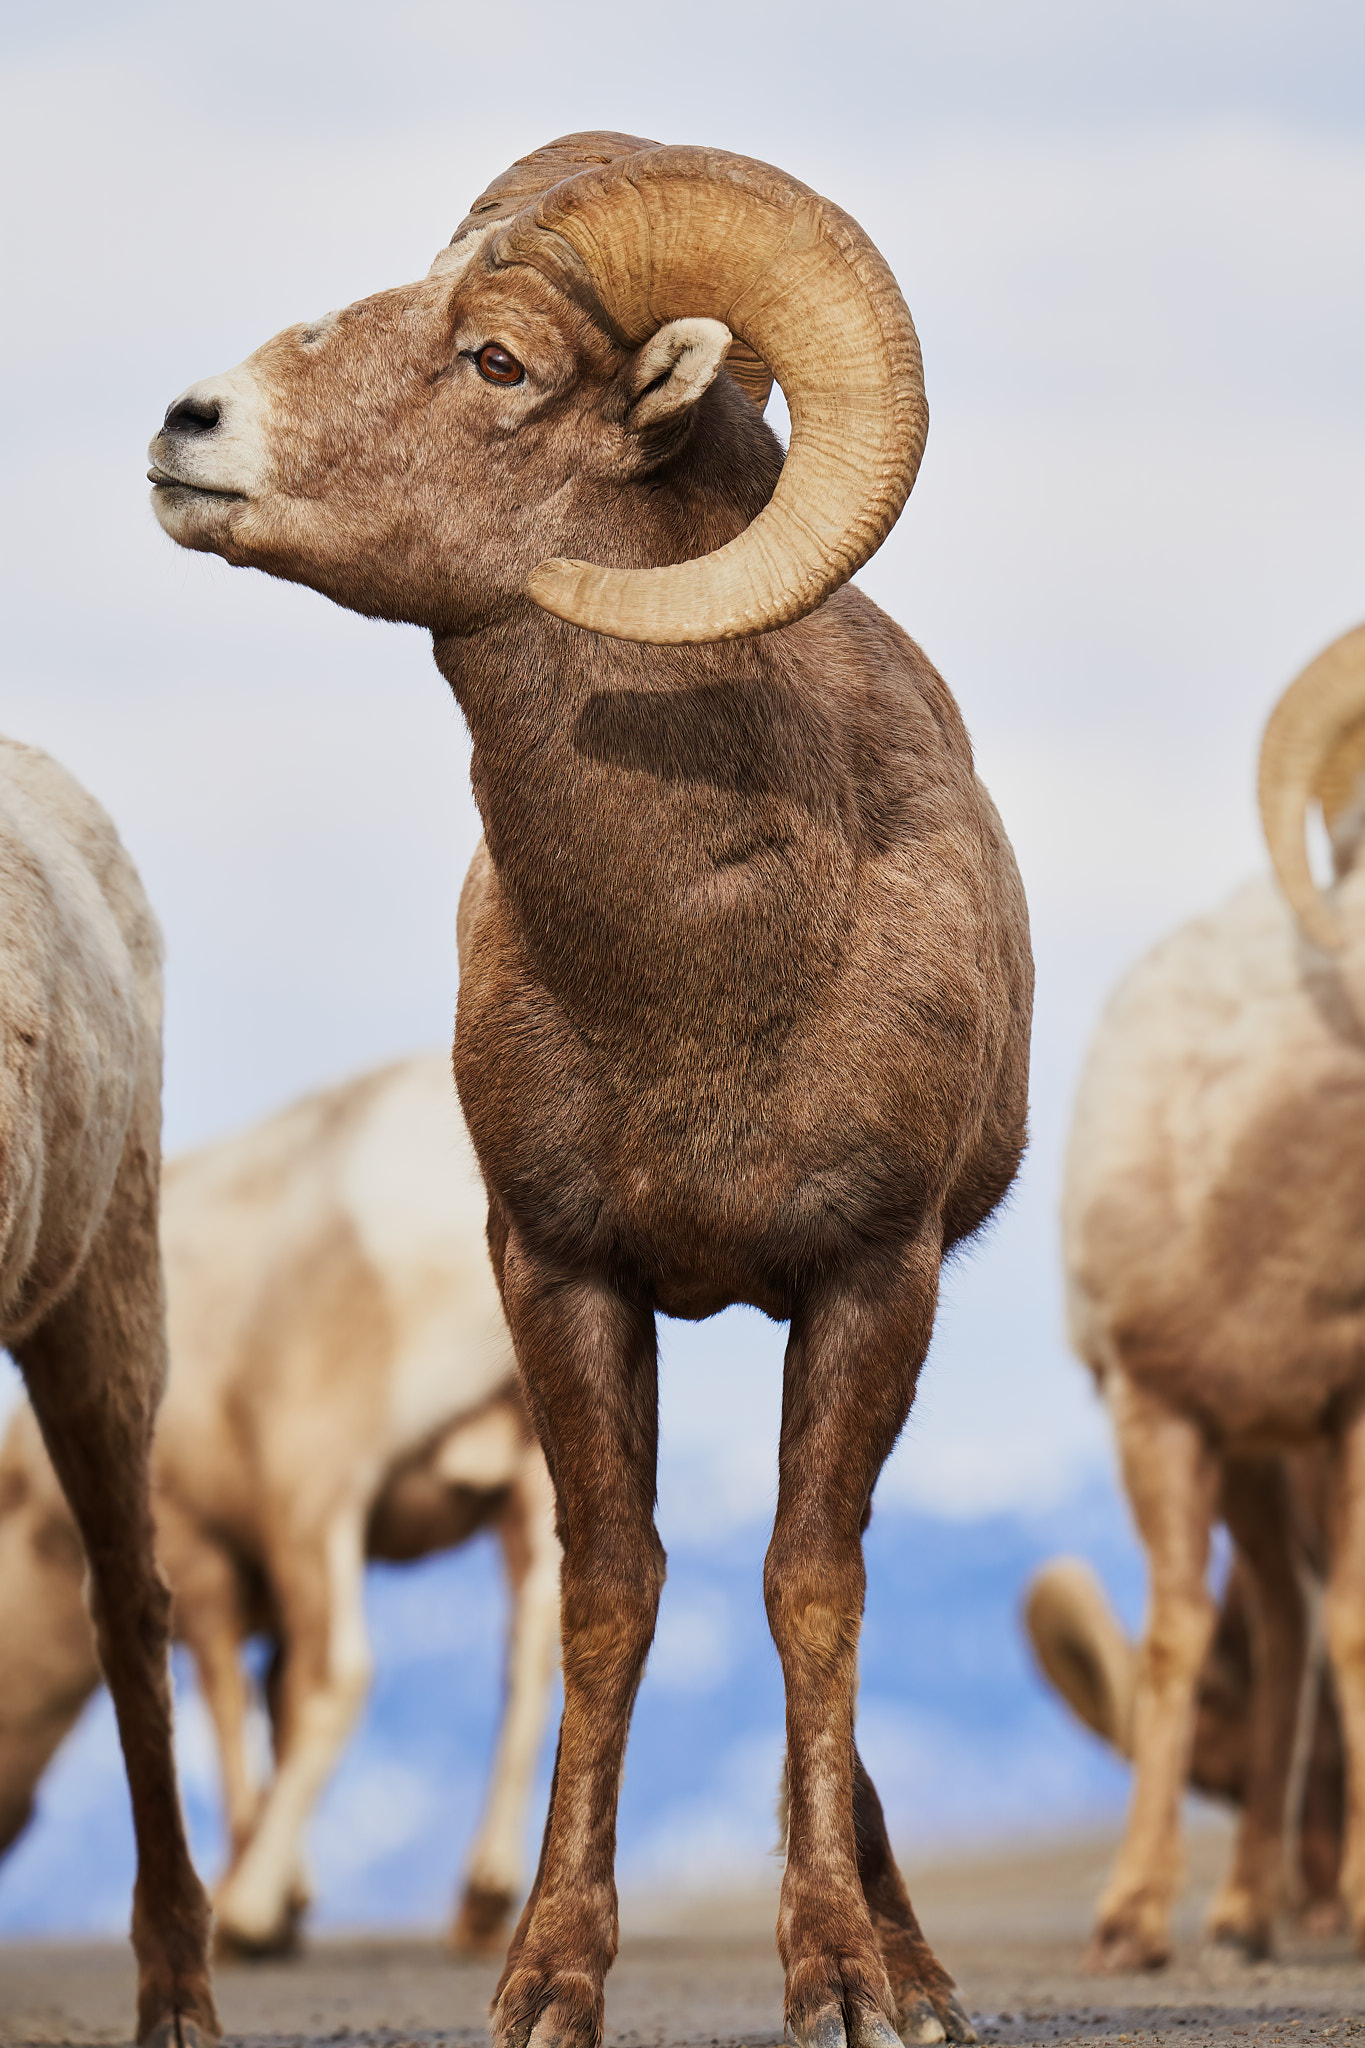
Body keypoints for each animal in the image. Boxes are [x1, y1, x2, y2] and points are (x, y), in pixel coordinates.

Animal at [0, 1051, 560, 1957]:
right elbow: (274, 1699)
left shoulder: (196, 1544)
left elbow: (226, 1693)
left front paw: (257, 1891)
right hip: (530, 1472)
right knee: (537, 1652)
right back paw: (481, 1897)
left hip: (318, 1482)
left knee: (342, 1675)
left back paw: (250, 1909)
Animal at [147, 132, 1034, 2048]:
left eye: (498, 361)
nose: (190, 424)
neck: (707, 968)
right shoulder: (561, 1272)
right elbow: (614, 1590)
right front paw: (547, 1979)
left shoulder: (871, 1278)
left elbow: (813, 1588)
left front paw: (847, 1981)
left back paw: (920, 1973)